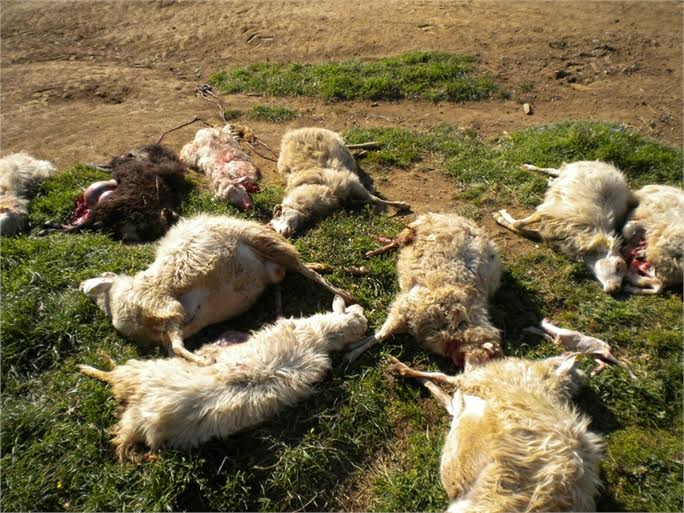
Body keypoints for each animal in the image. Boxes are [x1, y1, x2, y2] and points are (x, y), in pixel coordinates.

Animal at [78, 295, 367, 463]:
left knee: (114, 382)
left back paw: (90, 366)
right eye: (355, 313)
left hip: (138, 374)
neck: (318, 338)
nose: (362, 308)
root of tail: (140, 413)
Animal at [80, 214, 355, 365]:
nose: (84, 286)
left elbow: (174, 344)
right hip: (270, 256)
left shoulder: (170, 308)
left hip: (267, 245)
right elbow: (174, 346)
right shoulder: (172, 317)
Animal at [270, 127, 410, 237]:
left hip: (332, 136)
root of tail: (292, 133)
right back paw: (361, 152)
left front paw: (403, 205)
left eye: (280, 213)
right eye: (272, 226)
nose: (282, 233)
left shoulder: (352, 183)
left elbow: (376, 199)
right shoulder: (346, 199)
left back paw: (372, 144)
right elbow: (367, 200)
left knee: (346, 142)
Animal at [345, 213, 503, 369]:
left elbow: (381, 335)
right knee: (395, 241)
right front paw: (353, 352)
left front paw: (354, 347)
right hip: (410, 231)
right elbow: (380, 335)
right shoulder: (403, 309)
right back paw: (373, 250)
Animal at [494, 161, 635, 294]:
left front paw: (500, 218)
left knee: (554, 174)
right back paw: (529, 167)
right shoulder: (550, 212)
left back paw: (550, 181)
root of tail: (610, 167)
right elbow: (518, 224)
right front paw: (501, 214)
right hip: (570, 169)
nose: (616, 289)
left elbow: (518, 228)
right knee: (553, 169)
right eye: (618, 265)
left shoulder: (548, 233)